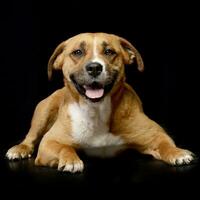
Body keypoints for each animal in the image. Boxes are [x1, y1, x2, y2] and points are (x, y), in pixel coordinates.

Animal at [5, 32, 194, 172]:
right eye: (78, 52)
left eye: (109, 52)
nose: (94, 67)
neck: (96, 111)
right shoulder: (49, 142)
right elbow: (64, 147)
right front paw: (71, 160)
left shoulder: (155, 134)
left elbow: (165, 143)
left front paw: (177, 153)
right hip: (43, 111)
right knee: (30, 137)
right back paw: (19, 149)